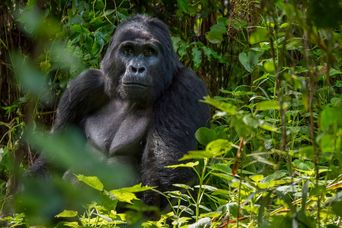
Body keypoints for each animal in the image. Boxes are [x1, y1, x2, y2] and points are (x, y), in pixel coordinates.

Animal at [32, 13, 208, 207]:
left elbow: (166, 181)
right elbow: (52, 160)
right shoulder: (83, 86)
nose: (136, 68)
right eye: (128, 51)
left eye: (149, 52)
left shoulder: (185, 88)